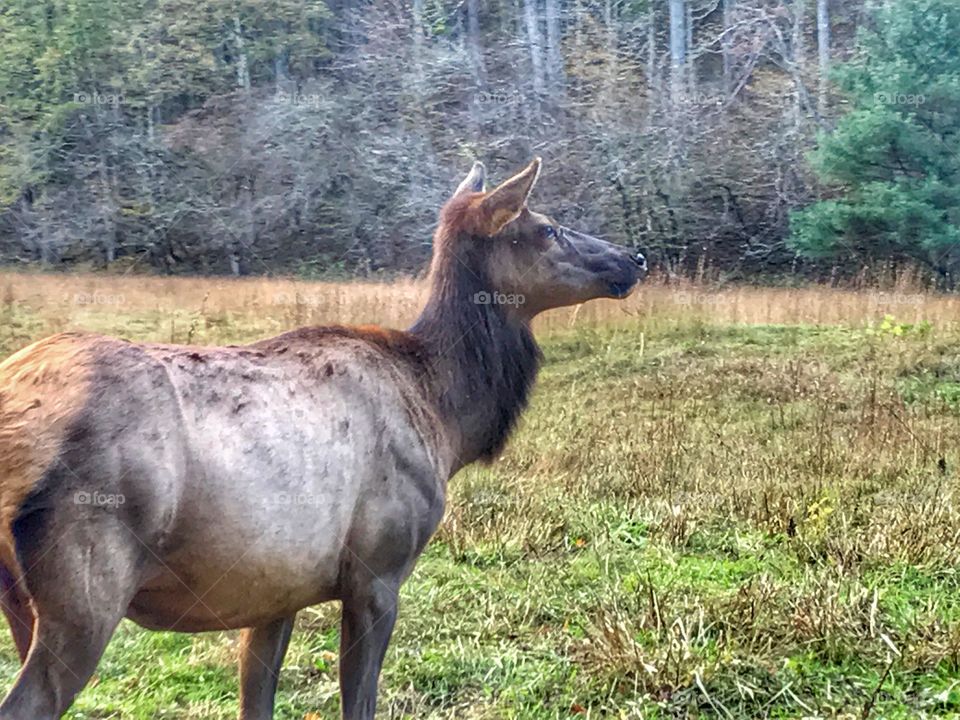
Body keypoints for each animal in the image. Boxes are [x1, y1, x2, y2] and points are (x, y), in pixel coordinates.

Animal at [0, 159, 648, 720]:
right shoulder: (378, 570)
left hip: (22, 598)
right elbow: (358, 702)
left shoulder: (274, 587)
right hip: (85, 588)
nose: (635, 256)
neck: (445, 417)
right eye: (548, 228)